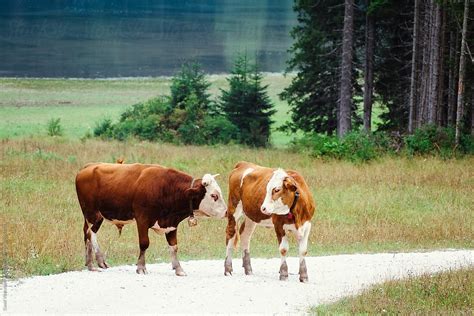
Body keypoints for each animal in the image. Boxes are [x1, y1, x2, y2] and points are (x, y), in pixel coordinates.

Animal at [76, 163, 228, 274]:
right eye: (214, 195)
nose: (227, 212)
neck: (166, 188)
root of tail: (88, 166)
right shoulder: (142, 219)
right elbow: (144, 243)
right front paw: (141, 267)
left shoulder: (172, 225)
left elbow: (174, 247)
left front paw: (178, 268)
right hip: (94, 214)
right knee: (91, 234)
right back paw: (99, 259)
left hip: (90, 217)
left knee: (86, 235)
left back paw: (90, 264)